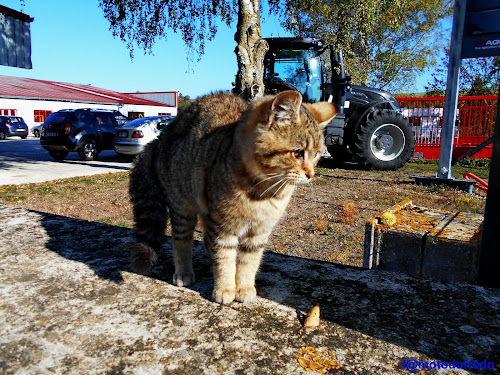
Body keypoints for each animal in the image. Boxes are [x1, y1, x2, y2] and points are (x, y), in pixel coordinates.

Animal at [129, 91, 338, 306]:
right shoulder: (223, 227)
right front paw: (225, 287)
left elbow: (249, 262)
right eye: (298, 153)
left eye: (316, 155)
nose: (311, 174)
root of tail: (161, 136)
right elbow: (224, 258)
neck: (262, 192)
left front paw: (244, 287)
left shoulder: (258, 232)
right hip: (182, 208)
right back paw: (184, 272)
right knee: (181, 240)